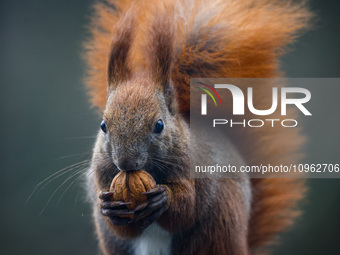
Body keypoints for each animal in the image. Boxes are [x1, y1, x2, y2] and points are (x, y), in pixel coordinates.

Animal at [83, 0, 312, 255]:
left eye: (159, 125)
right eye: (103, 126)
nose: (126, 163)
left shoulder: (192, 164)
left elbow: (186, 210)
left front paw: (163, 199)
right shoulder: (103, 173)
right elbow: (122, 228)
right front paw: (109, 207)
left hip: (217, 229)